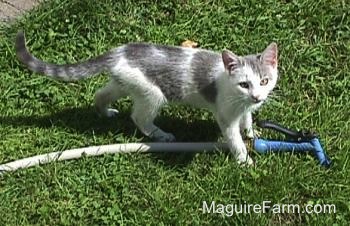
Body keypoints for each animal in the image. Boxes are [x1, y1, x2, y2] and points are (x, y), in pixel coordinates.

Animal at [15, 31, 278, 164]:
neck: (239, 99)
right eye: (244, 84)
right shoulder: (225, 115)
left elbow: (247, 122)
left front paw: (252, 134)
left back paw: (105, 112)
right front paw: (244, 161)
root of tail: (119, 51)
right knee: (139, 117)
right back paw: (162, 135)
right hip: (153, 93)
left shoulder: (244, 109)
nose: (257, 96)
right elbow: (234, 139)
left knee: (101, 94)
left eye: (265, 81)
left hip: (124, 83)